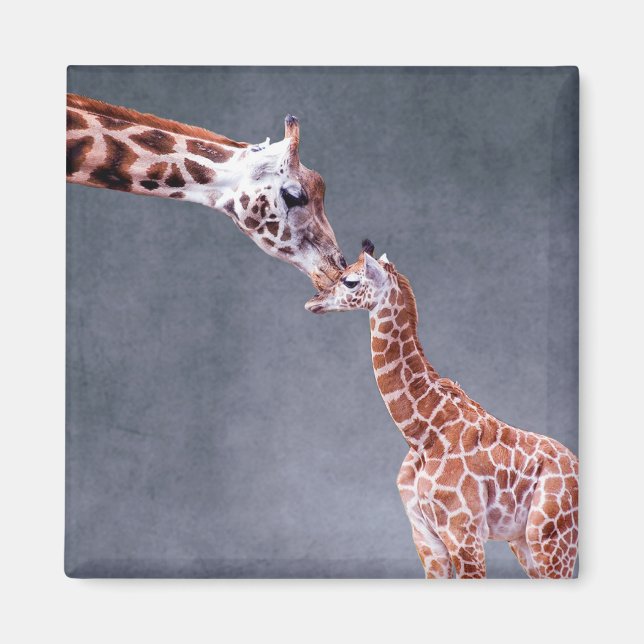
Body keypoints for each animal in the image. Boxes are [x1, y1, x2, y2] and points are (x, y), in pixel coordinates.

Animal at [305, 241, 579, 579]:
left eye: (350, 281)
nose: (313, 302)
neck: (422, 434)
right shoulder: (425, 538)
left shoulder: (463, 533)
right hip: (524, 541)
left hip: (551, 538)